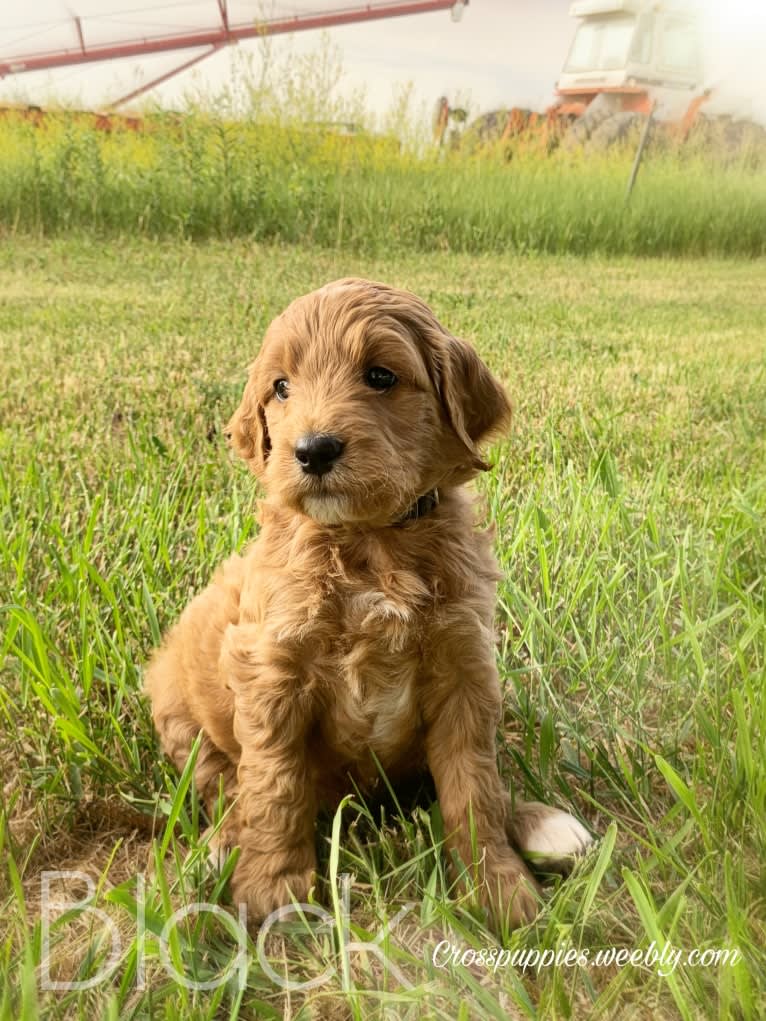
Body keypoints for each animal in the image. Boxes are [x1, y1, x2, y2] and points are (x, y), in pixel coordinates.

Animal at [145, 277, 592, 927]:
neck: (371, 541)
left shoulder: (465, 667)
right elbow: (274, 784)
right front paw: (273, 891)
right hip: (180, 712)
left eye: (380, 376)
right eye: (281, 387)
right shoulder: (272, 670)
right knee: (226, 785)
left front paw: (498, 888)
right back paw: (219, 847)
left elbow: (474, 785)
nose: (312, 450)